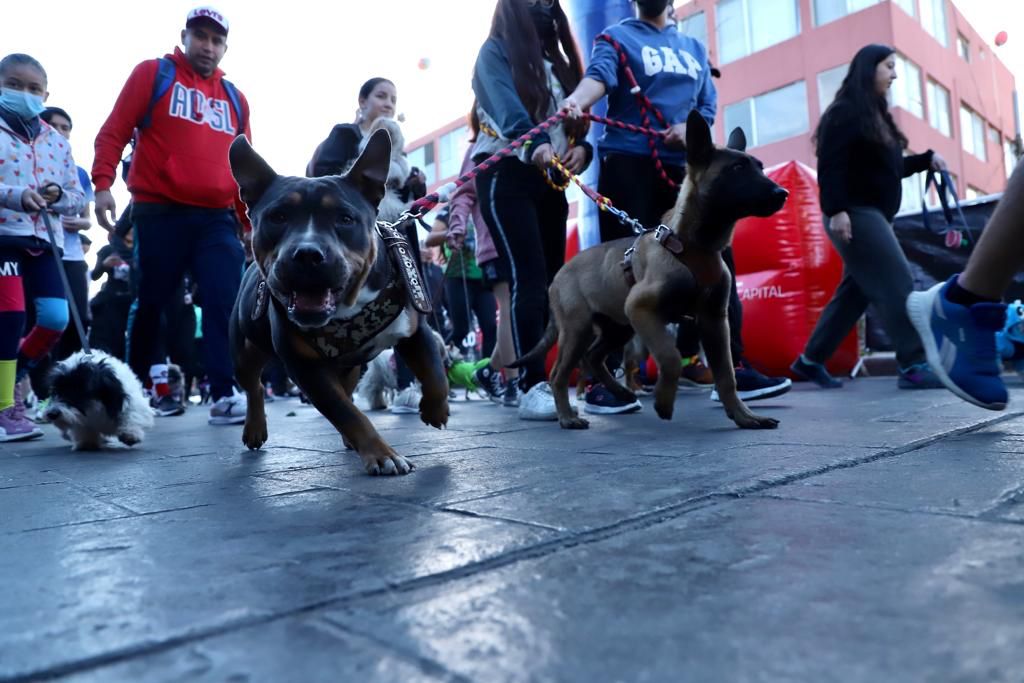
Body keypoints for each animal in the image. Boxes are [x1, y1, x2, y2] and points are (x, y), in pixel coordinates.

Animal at [228, 131, 448, 479]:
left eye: (345, 219)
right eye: (278, 217)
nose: (307, 253)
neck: (348, 309)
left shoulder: (415, 330)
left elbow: (435, 371)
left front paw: (435, 409)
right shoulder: (305, 368)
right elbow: (346, 412)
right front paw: (383, 454)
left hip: (353, 366)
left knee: (347, 386)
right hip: (245, 351)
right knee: (254, 386)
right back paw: (254, 428)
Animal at [516, 112, 786, 432]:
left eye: (759, 166)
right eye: (737, 168)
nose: (783, 193)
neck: (695, 245)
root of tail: (558, 275)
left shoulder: (714, 321)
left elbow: (726, 376)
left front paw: (744, 416)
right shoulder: (642, 308)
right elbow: (670, 357)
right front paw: (664, 401)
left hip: (617, 326)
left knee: (594, 357)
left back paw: (619, 392)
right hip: (579, 327)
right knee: (560, 372)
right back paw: (568, 416)